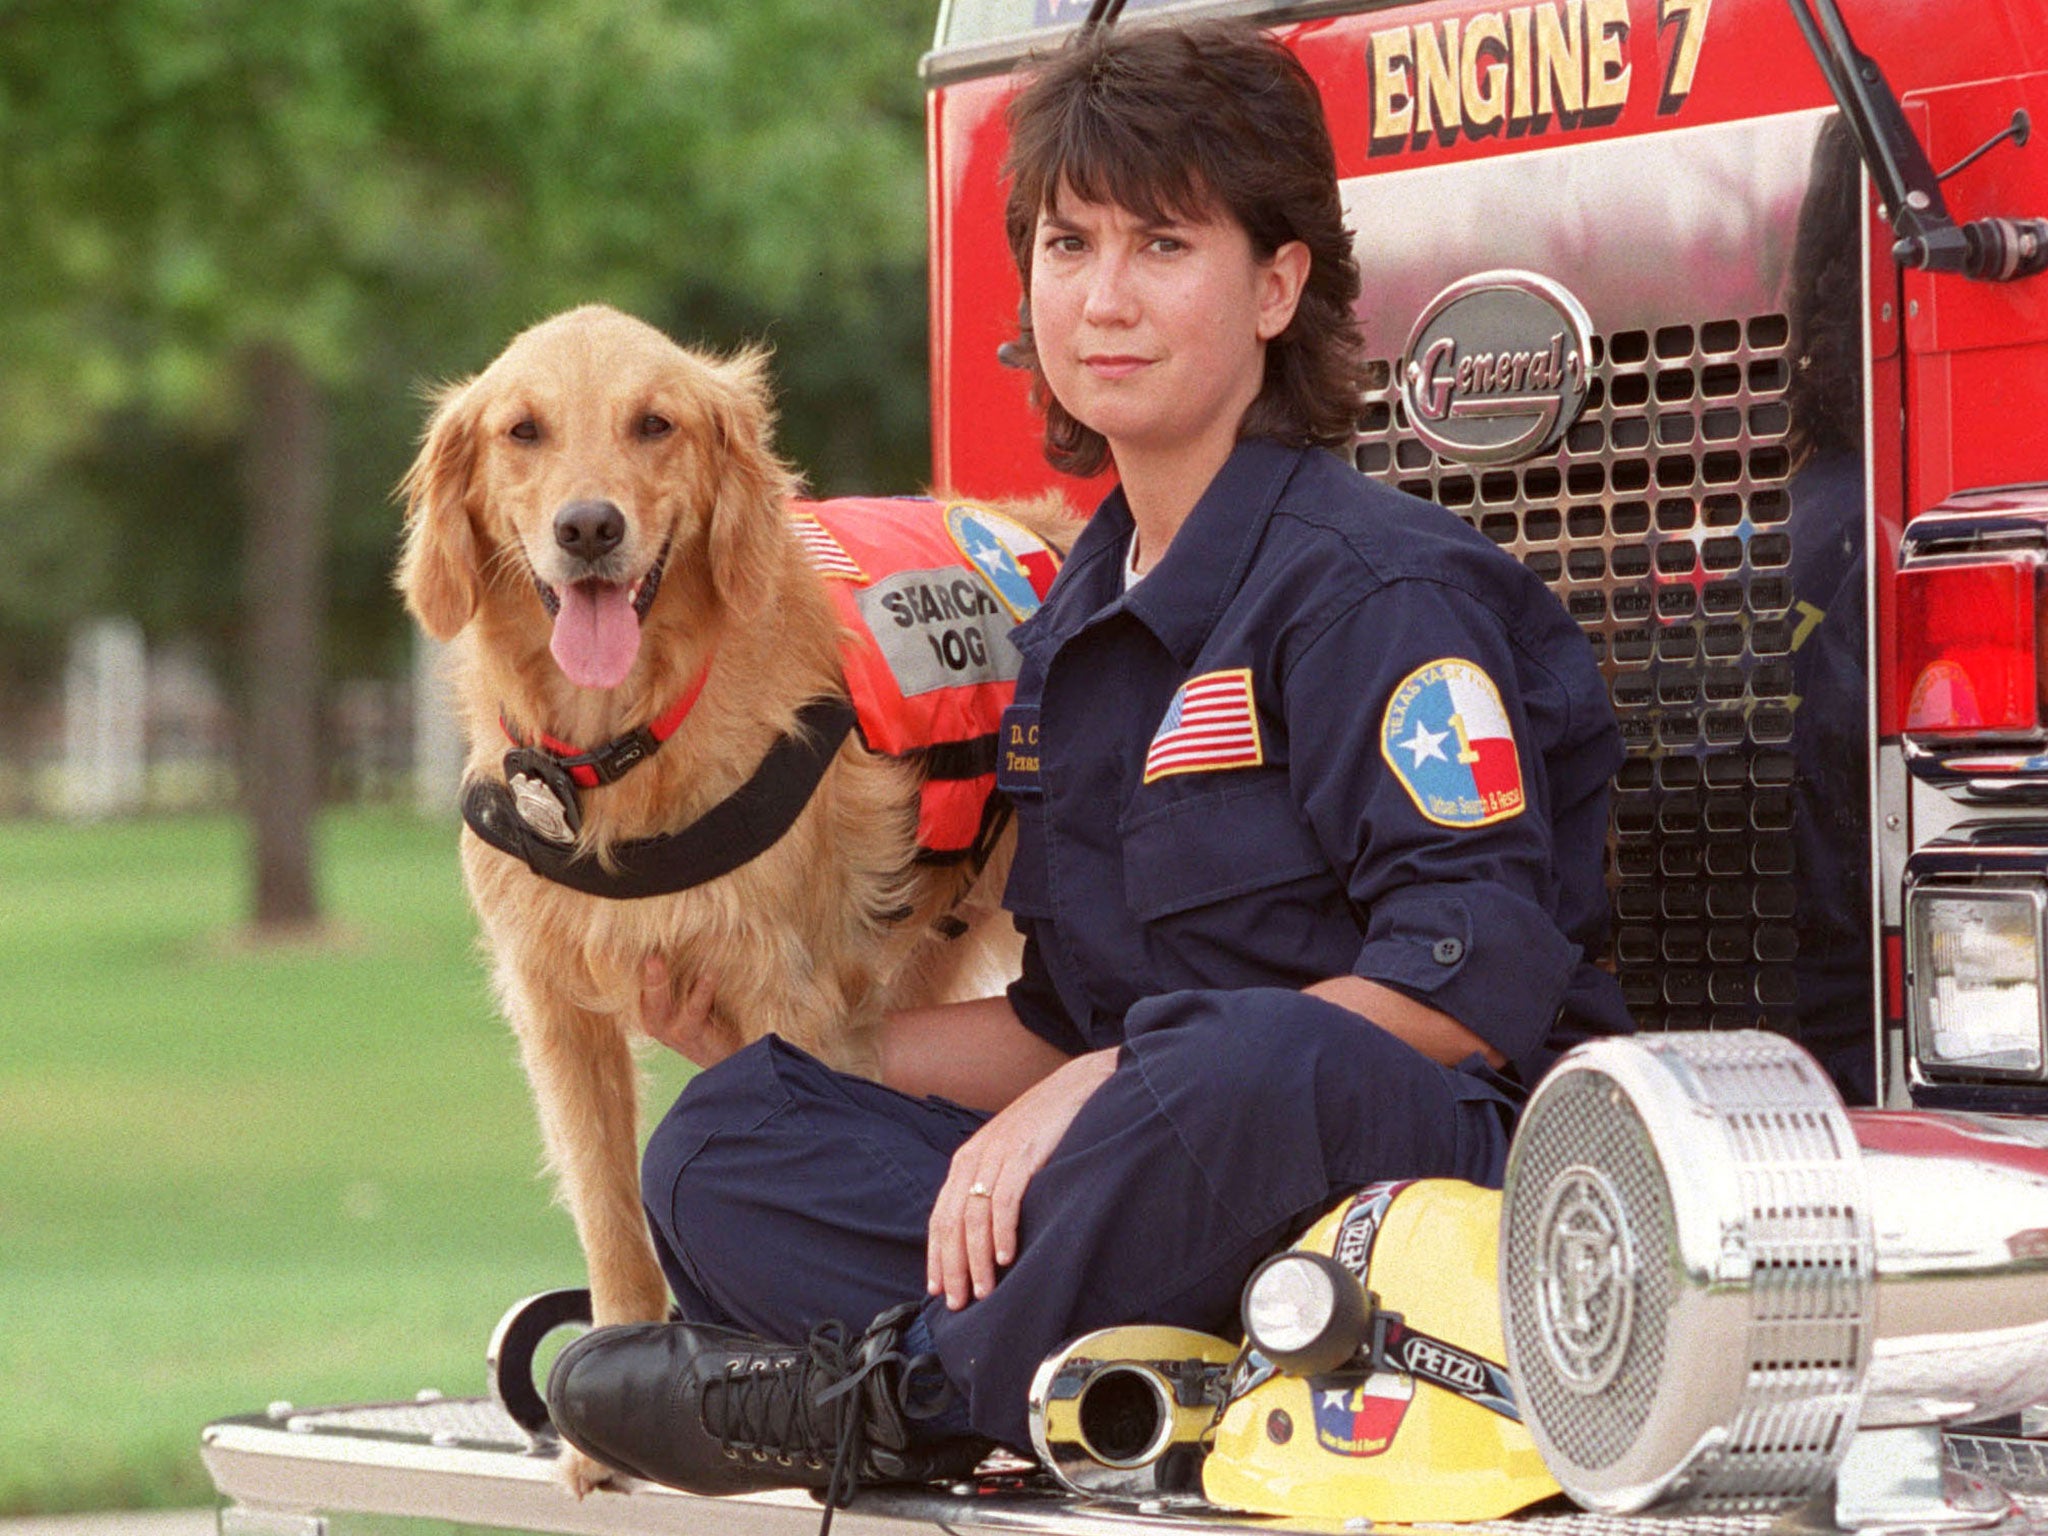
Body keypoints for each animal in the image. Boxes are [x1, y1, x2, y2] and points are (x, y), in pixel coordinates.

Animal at [401, 303, 1073, 1490]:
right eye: (523, 430)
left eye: (654, 423)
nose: (588, 528)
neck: (619, 750)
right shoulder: (557, 1013)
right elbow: (610, 1211)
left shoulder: (786, 999)